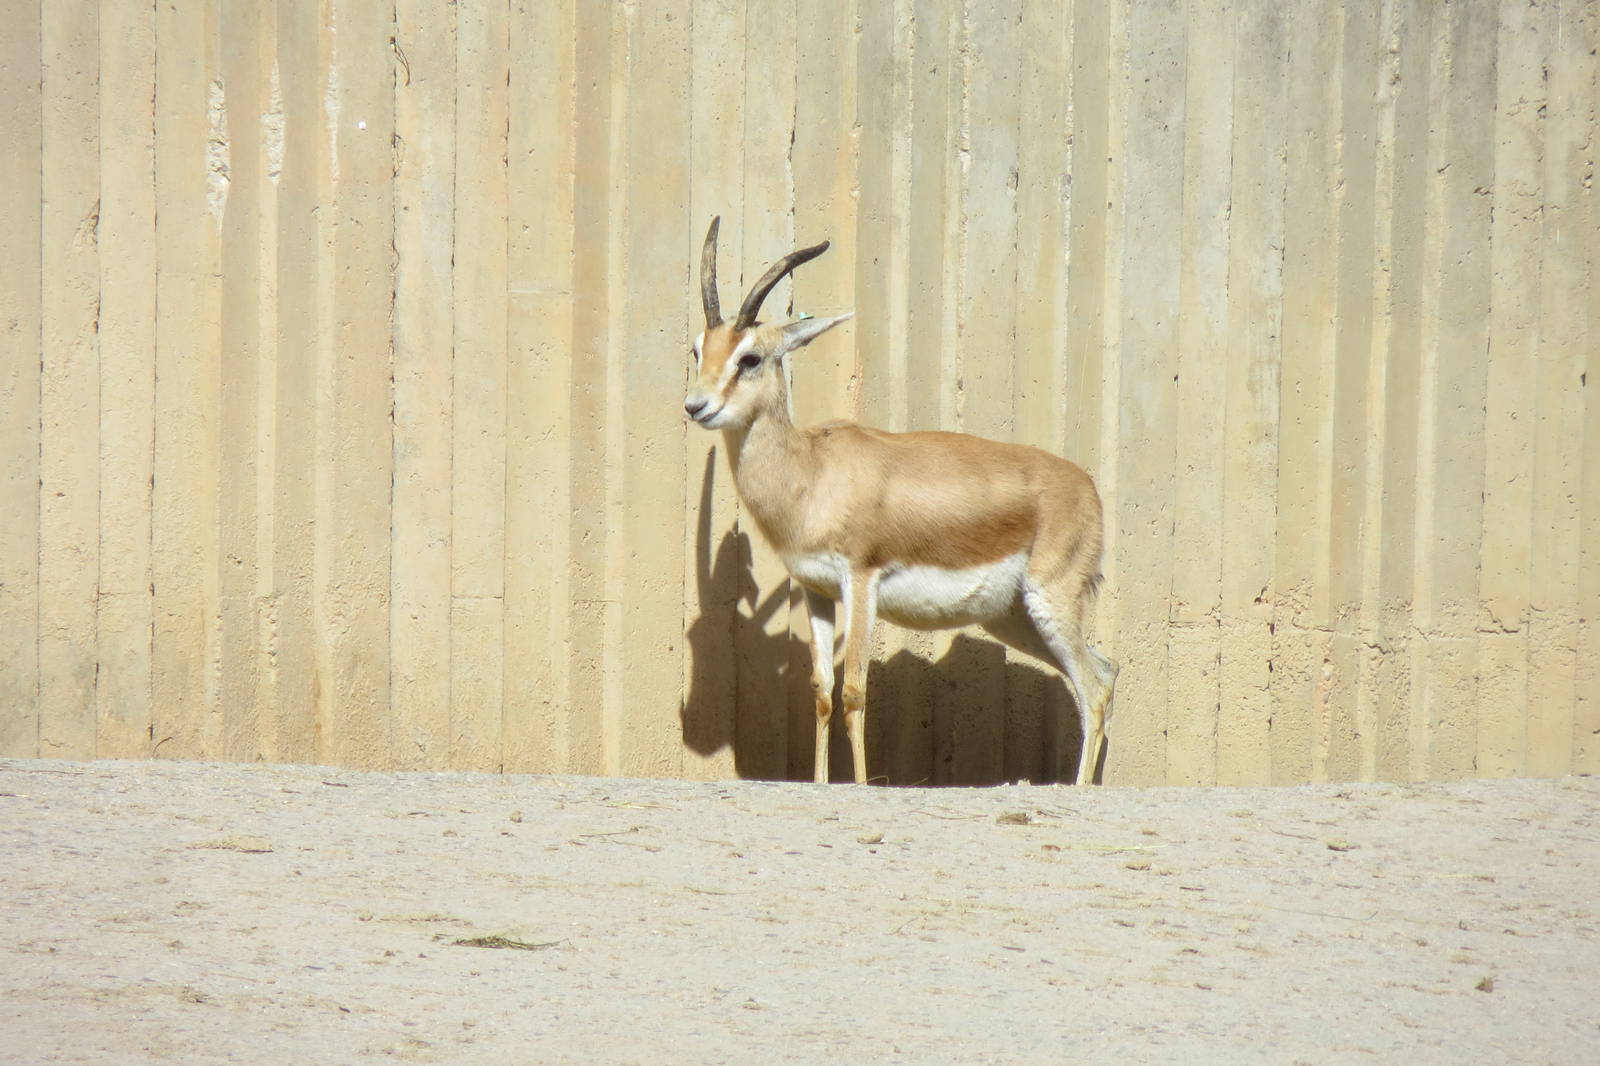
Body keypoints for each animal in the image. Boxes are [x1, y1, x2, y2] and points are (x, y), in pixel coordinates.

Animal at [686, 217, 1118, 785]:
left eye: (750, 357)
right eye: (698, 350)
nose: (696, 406)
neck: (811, 472)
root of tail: (1086, 486)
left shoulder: (861, 581)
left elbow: (854, 691)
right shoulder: (815, 590)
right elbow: (822, 691)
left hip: (1052, 599)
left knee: (1093, 690)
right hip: (1012, 616)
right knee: (1106, 671)